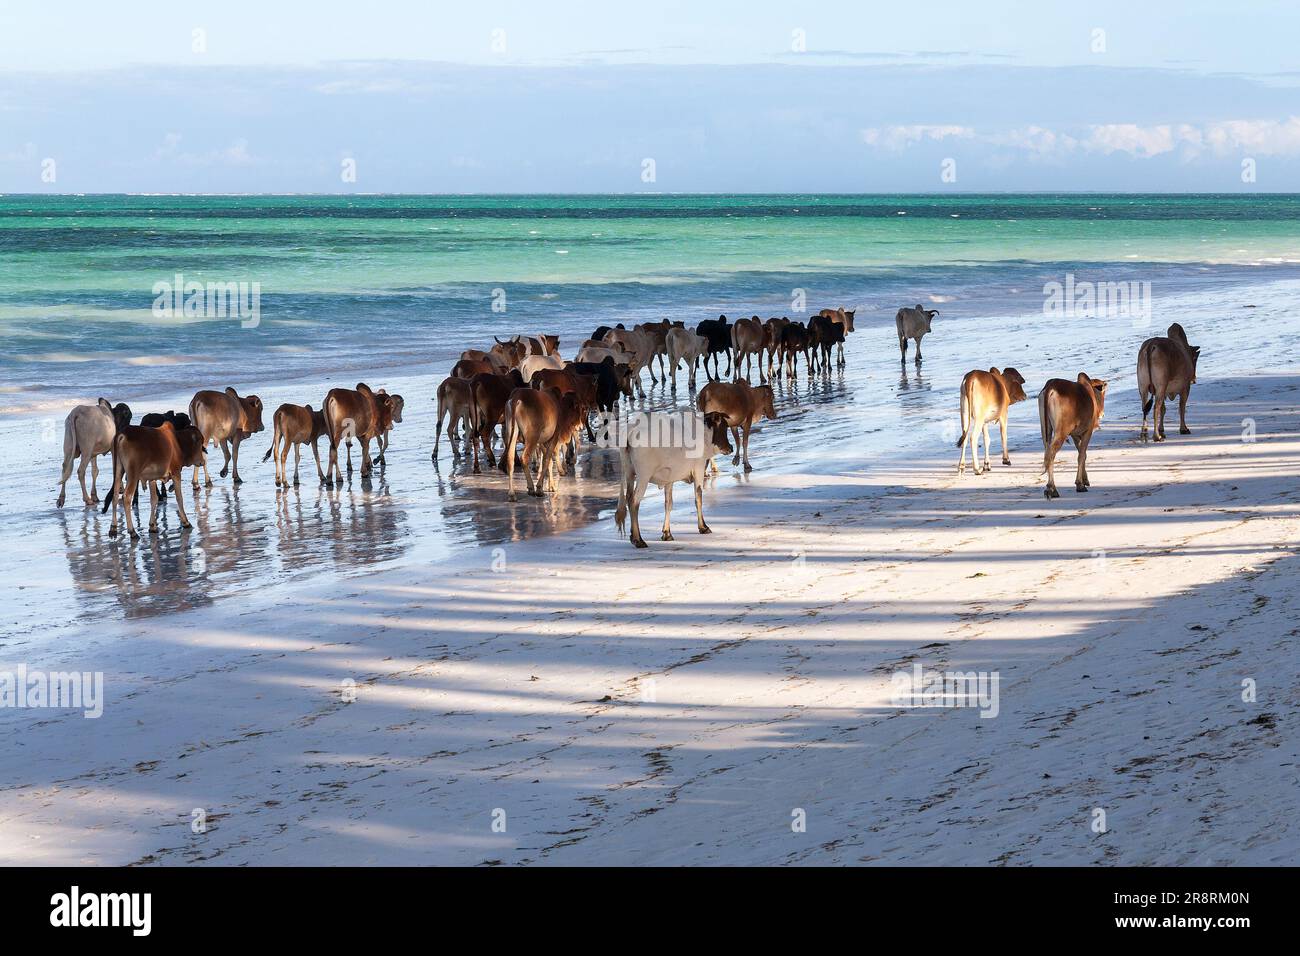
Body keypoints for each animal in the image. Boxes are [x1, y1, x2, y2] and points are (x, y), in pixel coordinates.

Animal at [613, 408, 738, 548]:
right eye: (724, 427)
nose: (731, 447)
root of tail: (632, 427)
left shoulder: (669, 478)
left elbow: (669, 503)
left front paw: (667, 533)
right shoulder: (699, 468)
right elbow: (698, 498)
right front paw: (703, 527)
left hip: (629, 473)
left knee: (628, 497)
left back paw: (633, 536)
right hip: (643, 476)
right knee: (634, 501)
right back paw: (638, 539)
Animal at [1034, 371, 1107, 502]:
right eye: (1103, 392)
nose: (1102, 414)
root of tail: (1050, 386)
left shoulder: (1075, 434)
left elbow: (1083, 454)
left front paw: (1085, 480)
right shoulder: (1087, 431)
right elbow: (1081, 455)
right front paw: (1080, 484)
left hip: (1045, 430)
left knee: (1047, 452)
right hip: (1061, 432)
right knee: (1051, 454)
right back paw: (1051, 488)